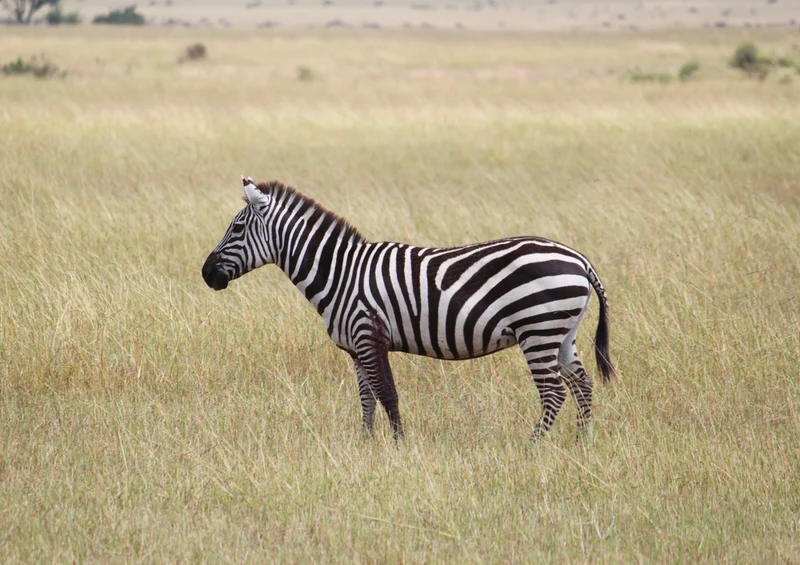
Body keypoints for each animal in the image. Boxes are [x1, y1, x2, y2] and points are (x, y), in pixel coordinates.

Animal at [202, 177, 615, 441]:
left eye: (237, 229)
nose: (206, 275)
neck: (340, 273)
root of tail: (579, 259)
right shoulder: (356, 349)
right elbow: (367, 399)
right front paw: (366, 445)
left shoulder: (369, 335)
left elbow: (388, 395)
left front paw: (399, 447)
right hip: (562, 332)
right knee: (582, 383)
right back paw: (583, 441)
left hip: (537, 329)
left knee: (554, 392)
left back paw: (534, 446)